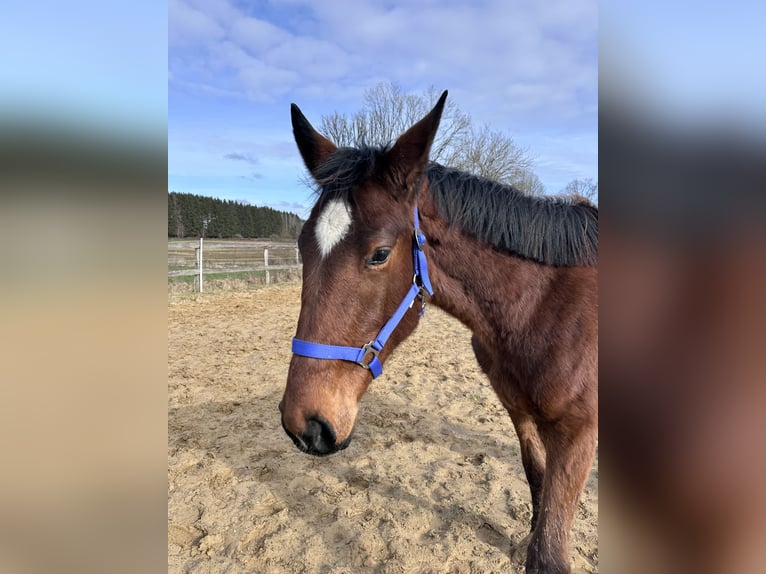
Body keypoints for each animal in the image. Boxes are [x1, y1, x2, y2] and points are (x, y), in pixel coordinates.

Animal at [279, 91, 598, 574]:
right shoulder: (521, 415)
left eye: (380, 254)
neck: (540, 308)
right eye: (302, 246)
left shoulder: (578, 434)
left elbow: (548, 552)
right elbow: (536, 489)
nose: (305, 425)